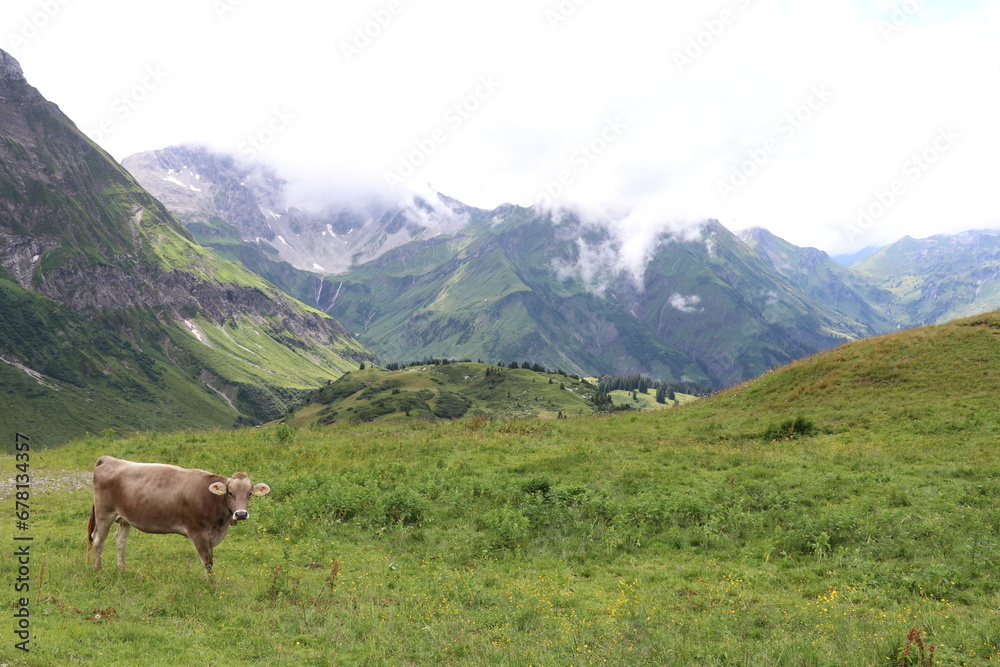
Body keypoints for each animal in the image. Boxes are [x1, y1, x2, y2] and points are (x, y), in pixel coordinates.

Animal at [86, 456, 270, 580]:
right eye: (230, 493)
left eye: (250, 493)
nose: (241, 514)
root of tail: (110, 459)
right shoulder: (197, 532)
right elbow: (207, 560)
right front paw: (211, 585)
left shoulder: (211, 536)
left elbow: (210, 558)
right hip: (104, 512)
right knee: (98, 540)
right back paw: (97, 570)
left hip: (124, 517)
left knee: (121, 542)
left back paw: (122, 570)